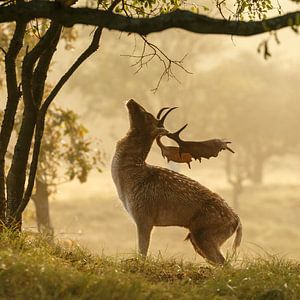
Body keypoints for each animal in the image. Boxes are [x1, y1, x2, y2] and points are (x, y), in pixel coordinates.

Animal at [111, 99, 243, 264]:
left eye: (147, 116)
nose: (131, 100)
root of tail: (237, 222)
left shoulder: (144, 215)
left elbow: (142, 252)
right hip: (198, 238)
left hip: (206, 234)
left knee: (225, 263)